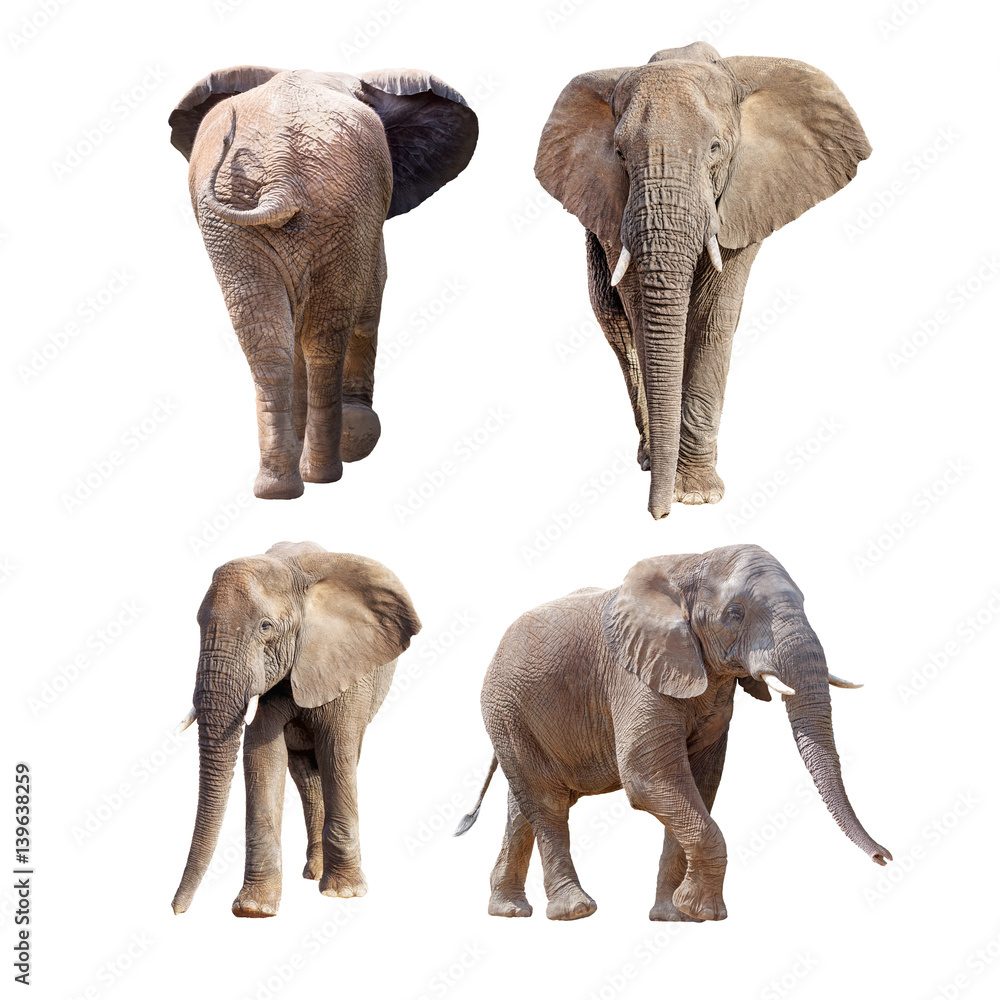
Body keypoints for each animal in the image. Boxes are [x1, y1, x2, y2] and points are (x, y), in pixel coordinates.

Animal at [168, 66, 478, 499]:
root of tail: (281, 176)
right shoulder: (368, 225)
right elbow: (371, 297)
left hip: (259, 218)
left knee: (271, 339)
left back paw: (280, 487)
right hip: (328, 209)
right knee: (324, 335)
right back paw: (322, 474)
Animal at [170, 541, 421, 917]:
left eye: (265, 626)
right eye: (199, 623)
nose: (176, 909)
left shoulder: (345, 662)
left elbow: (338, 751)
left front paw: (344, 894)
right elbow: (263, 757)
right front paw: (254, 909)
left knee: (338, 760)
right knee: (306, 773)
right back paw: (313, 872)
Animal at [456, 544, 890, 922]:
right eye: (735, 614)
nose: (883, 857)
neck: (691, 563)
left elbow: (698, 783)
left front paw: (676, 916)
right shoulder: (635, 673)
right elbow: (650, 777)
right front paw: (702, 912)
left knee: (523, 806)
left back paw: (509, 911)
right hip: (504, 708)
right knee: (547, 802)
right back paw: (574, 911)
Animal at [534, 43, 870, 518]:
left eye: (715, 148)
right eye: (619, 154)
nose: (658, 515)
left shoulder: (744, 197)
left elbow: (715, 313)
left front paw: (695, 495)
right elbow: (640, 309)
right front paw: (675, 480)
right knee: (612, 319)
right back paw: (649, 458)